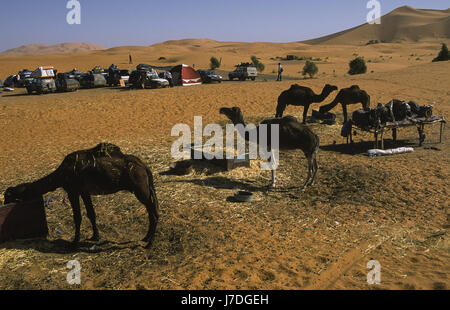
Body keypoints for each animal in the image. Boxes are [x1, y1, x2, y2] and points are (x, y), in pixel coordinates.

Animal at [3, 143, 158, 249]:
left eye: (8, 196)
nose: (4, 203)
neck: (60, 174)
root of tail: (144, 166)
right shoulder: (84, 191)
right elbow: (91, 213)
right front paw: (95, 236)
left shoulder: (72, 190)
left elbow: (77, 216)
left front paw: (74, 242)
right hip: (143, 189)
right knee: (151, 211)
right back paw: (145, 238)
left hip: (140, 188)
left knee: (154, 212)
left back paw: (149, 244)